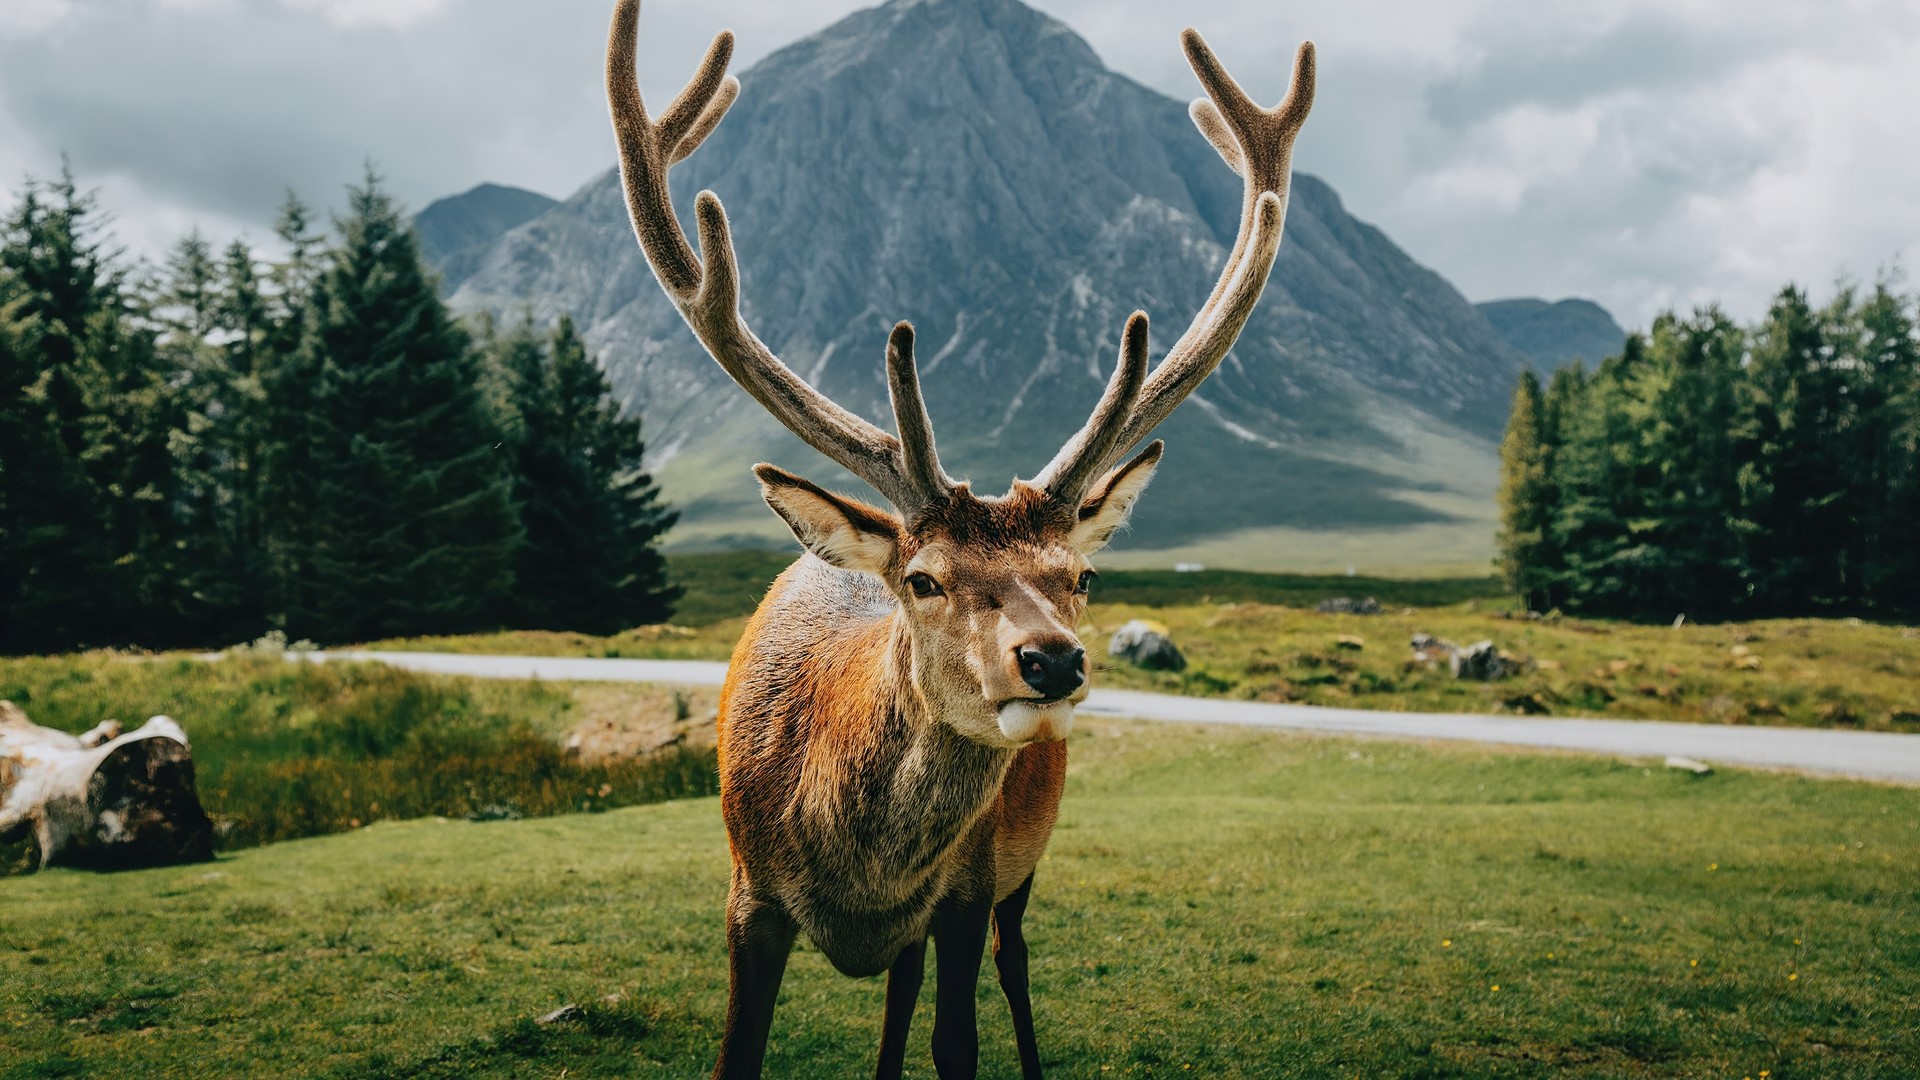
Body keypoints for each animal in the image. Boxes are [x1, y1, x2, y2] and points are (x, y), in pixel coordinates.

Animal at [604, 1, 1313, 1076]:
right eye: (926, 580)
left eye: (1082, 576)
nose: (1052, 660)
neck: (858, 873)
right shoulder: (747, 892)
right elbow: (744, 1052)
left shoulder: (967, 890)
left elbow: (958, 1042)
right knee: (896, 996)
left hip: (1022, 867)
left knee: (1008, 966)